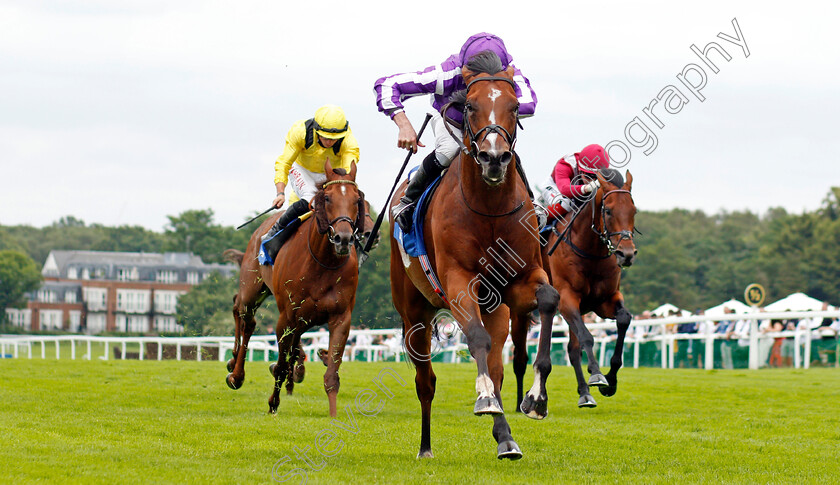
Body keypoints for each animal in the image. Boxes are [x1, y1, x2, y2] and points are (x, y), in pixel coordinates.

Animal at [223, 162, 368, 416]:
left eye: (356, 199)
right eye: (327, 198)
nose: (343, 238)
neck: (323, 262)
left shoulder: (340, 317)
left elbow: (331, 374)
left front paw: (333, 415)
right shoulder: (286, 317)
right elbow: (282, 364)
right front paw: (273, 404)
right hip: (253, 288)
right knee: (244, 316)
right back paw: (235, 371)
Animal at [390, 52, 560, 458]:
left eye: (514, 106)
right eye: (469, 105)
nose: (494, 158)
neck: (488, 209)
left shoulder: (518, 281)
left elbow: (549, 298)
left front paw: (536, 398)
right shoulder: (458, 282)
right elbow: (476, 340)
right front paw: (483, 399)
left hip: (495, 308)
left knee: (496, 368)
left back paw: (506, 439)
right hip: (413, 313)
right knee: (426, 380)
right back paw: (425, 446)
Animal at [520, 167, 636, 416]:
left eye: (634, 210)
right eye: (608, 211)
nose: (627, 254)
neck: (590, 250)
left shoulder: (605, 300)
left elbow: (624, 319)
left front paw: (611, 381)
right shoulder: (567, 299)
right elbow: (587, 337)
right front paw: (598, 374)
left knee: (573, 350)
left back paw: (585, 394)